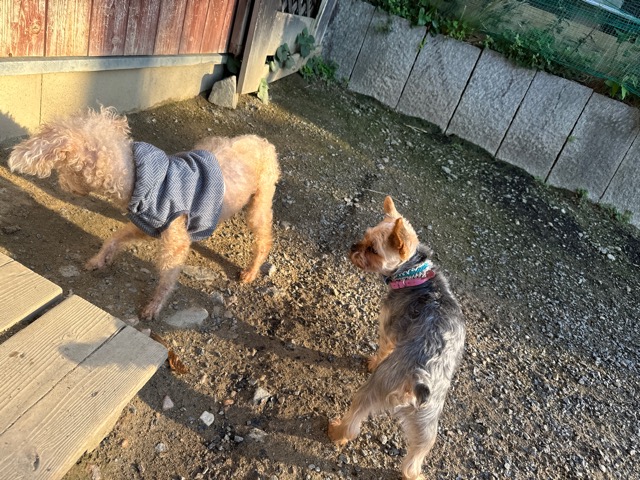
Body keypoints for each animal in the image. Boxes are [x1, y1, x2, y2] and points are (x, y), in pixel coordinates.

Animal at [8, 107, 280, 321]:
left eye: (65, 169)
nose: (64, 185)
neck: (136, 179)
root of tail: (265, 142)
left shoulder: (174, 240)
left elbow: (168, 277)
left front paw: (154, 306)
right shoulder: (146, 225)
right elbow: (114, 238)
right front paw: (99, 260)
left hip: (260, 200)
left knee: (264, 238)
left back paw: (251, 271)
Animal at [328, 196, 465, 480]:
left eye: (373, 249)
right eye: (364, 236)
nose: (353, 247)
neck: (413, 272)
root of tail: (419, 379)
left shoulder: (387, 328)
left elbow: (382, 348)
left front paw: (372, 361)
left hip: (378, 385)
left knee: (356, 417)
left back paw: (336, 431)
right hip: (428, 417)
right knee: (417, 454)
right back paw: (413, 472)